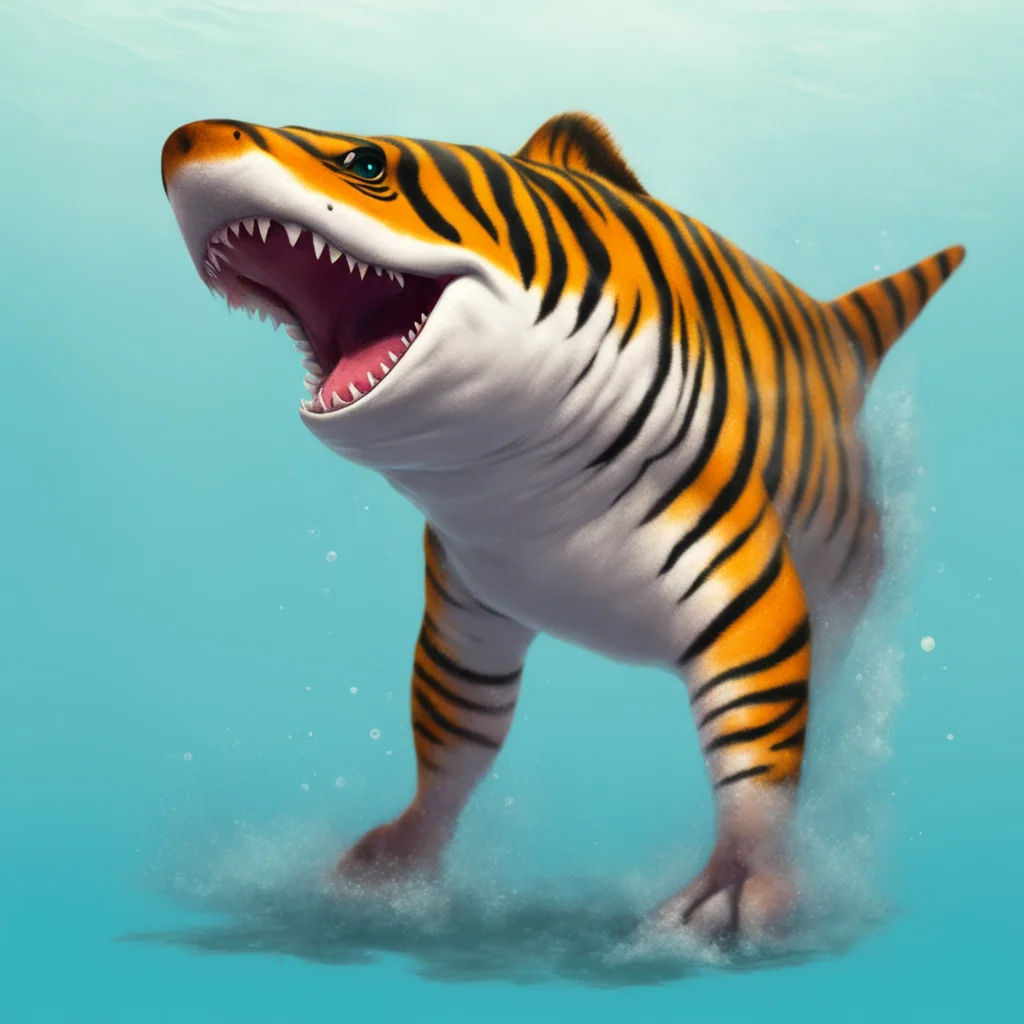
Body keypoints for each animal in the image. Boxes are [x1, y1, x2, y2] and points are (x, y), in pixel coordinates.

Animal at [160, 111, 965, 942]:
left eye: (365, 162)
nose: (184, 141)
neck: (524, 484)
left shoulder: (756, 604)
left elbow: (755, 760)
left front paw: (740, 885)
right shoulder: (469, 613)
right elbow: (453, 739)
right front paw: (402, 862)